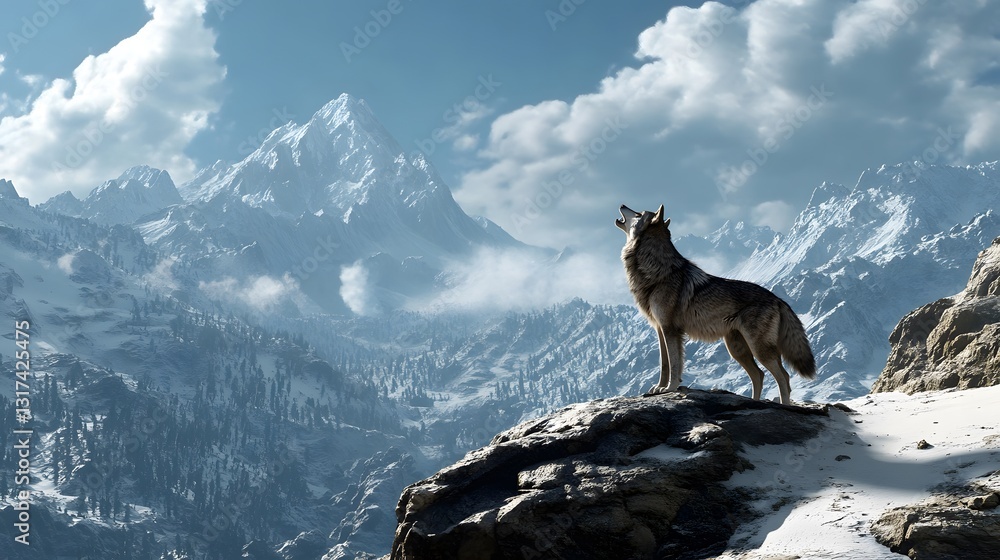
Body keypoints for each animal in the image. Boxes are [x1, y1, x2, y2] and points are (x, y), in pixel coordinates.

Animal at [616, 204, 816, 405]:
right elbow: (665, 364)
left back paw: (784, 405)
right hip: (737, 350)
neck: (658, 273)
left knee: (783, 377)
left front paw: (669, 388)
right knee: (759, 375)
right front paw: (659, 389)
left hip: (758, 350)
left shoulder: (670, 330)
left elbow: (674, 365)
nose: (622, 205)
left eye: (638, 214)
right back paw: (753, 402)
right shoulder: (660, 329)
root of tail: (778, 299)